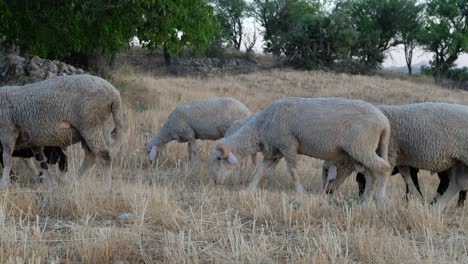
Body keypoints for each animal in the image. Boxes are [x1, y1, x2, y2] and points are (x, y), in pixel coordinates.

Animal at [208, 97, 392, 202]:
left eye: (218, 159)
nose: (215, 182)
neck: (259, 127)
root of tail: (384, 122)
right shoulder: (272, 151)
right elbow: (259, 170)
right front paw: (248, 190)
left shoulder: (288, 145)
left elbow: (293, 170)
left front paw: (299, 193)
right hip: (358, 153)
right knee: (370, 174)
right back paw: (365, 202)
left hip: (362, 148)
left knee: (384, 168)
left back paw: (380, 199)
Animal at [322, 102, 468, 209]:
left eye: (327, 171)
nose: (327, 192)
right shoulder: (400, 159)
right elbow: (407, 177)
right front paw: (415, 199)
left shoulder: (390, 154)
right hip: (457, 163)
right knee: (456, 183)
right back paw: (437, 206)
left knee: (456, 184)